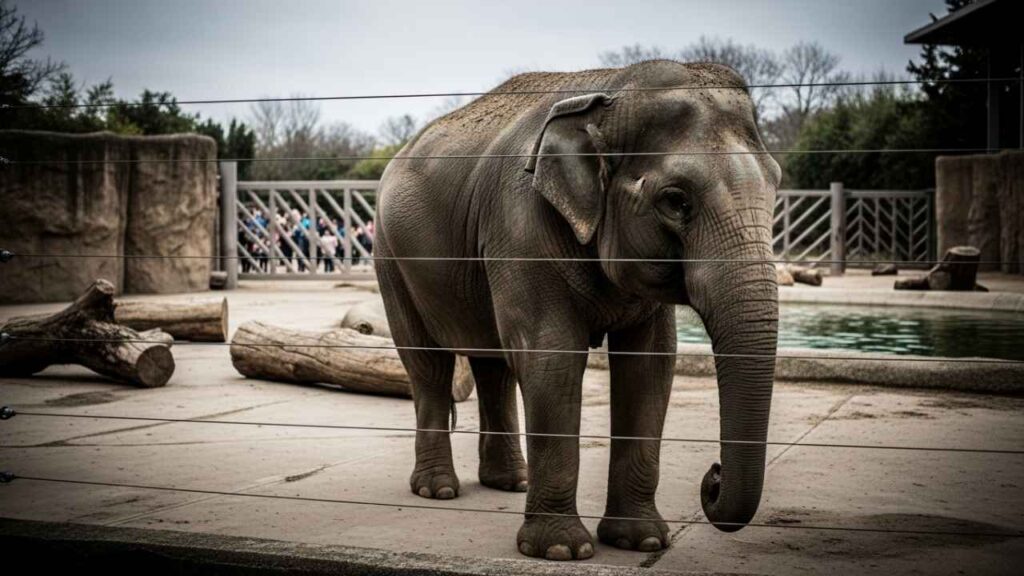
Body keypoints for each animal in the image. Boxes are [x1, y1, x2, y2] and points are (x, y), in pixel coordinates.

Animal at [374, 60, 780, 561]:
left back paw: (510, 482)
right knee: (428, 364)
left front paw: (641, 541)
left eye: (776, 184)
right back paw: (438, 490)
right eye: (676, 200)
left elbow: (649, 365)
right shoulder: (521, 226)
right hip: (390, 255)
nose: (714, 476)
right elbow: (552, 356)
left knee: (494, 364)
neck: (610, 91)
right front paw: (561, 551)